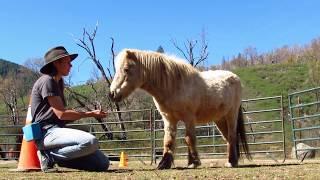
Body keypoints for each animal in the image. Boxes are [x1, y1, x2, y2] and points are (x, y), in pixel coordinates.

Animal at [110, 48, 252, 169]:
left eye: (126, 69)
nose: (112, 94)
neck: (174, 85)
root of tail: (235, 77)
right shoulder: (169, 119)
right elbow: (168, 141)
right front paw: (164, 164)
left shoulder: (189, 118)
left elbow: (189, 139)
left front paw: (194, 162)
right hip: (220, 119)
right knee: (227, 138)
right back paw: (232, 160)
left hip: (231, 115)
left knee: (232, 136)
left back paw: (231, 162)